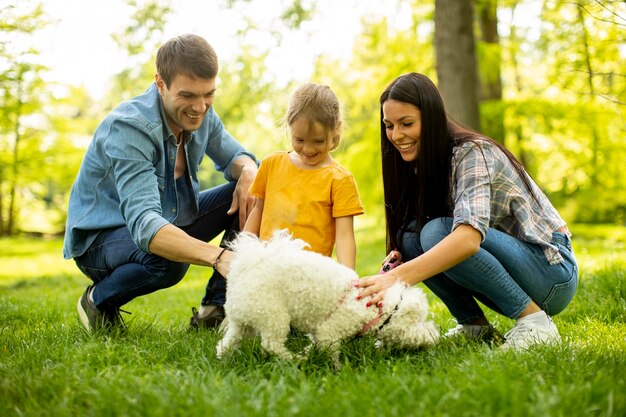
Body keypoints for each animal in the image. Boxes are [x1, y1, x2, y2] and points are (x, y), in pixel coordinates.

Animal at [216, 229, 438, 362]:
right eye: (421, 321)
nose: (434, 334)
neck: (374, 309)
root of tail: (246, 268)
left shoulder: (319, 334)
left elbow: (315, 345)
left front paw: (311, 354)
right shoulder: (328, 332)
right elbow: (331, 352)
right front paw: (337, 370)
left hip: (242, 320)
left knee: (228, 341)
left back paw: (223, 359)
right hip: (273, 315)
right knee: (271, 345)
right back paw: (295, 360)